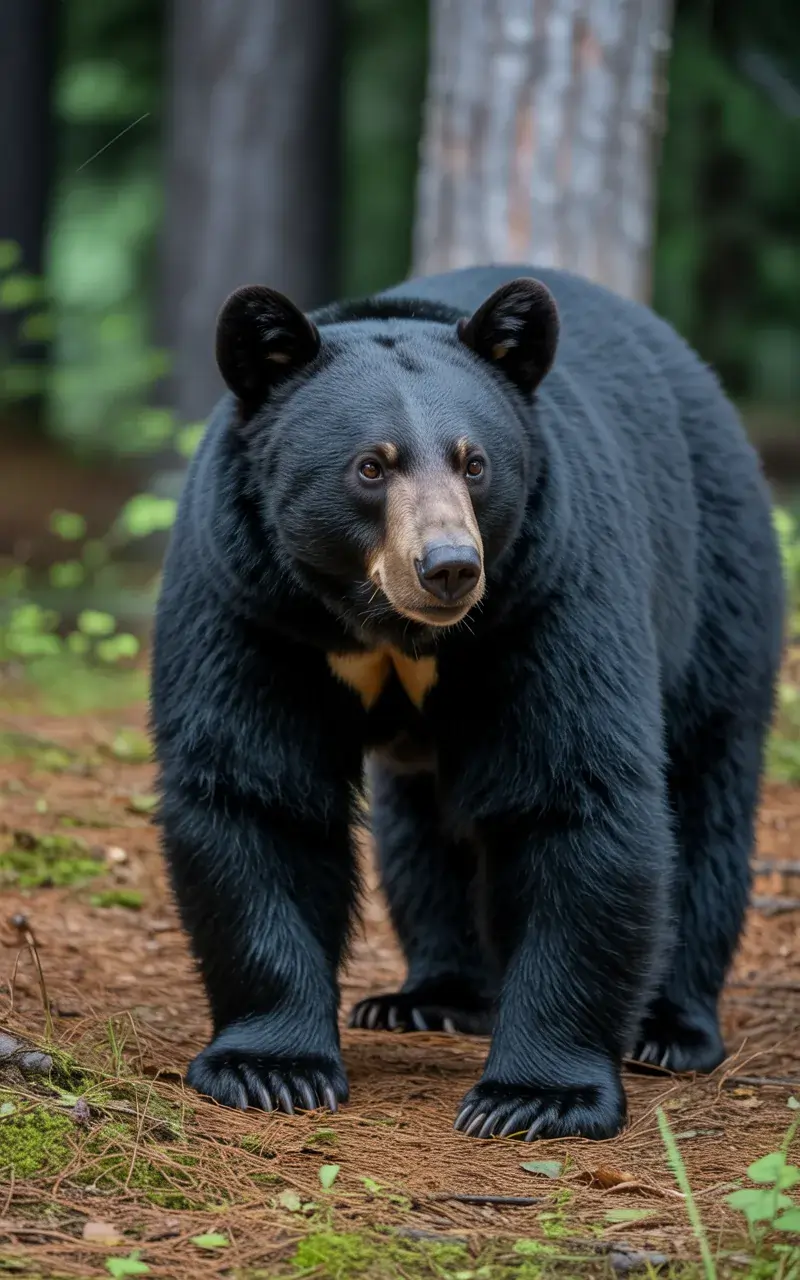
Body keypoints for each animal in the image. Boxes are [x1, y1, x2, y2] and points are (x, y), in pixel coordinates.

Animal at [151, 264, 785, 1141]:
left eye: (475, 463)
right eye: (371, 466)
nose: (449, 565)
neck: (386, 629)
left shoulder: (549, 590)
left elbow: (575, 795)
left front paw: (535, 1095)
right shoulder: (250, 602)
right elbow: (254, 792)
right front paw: (270, 1069)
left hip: (718, 578)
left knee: (704, 787)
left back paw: (671, 1026)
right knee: (423, 825)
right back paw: (431, 996)